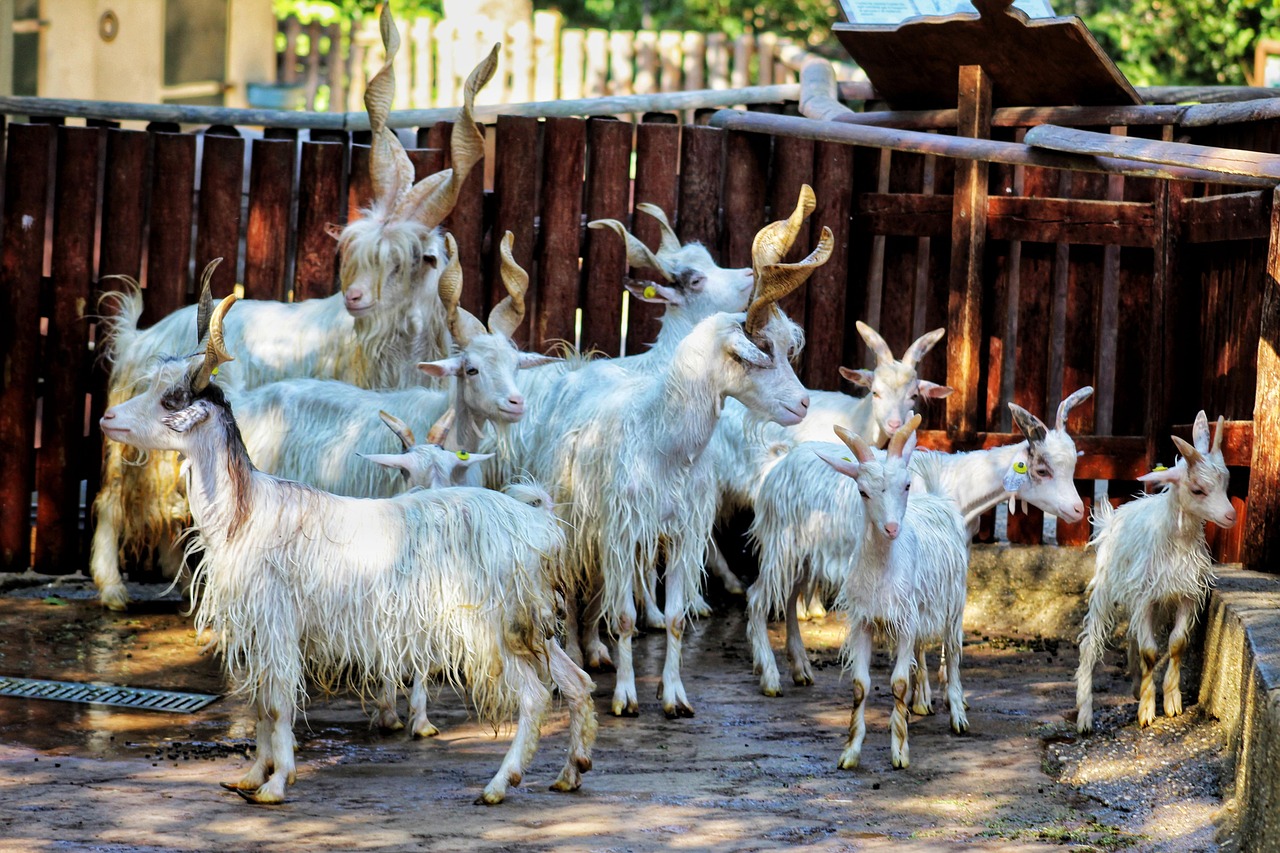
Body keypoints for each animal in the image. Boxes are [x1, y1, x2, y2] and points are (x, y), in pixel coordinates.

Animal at [89, 14, 496, 610]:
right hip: (135, 449)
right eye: (355, 252)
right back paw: (114, 587)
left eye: (409, 259)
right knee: (112, 497)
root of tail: (139, 334)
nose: (355, 298)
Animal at [97, 294, 596, 805]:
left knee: (535, 696)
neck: (247, 510)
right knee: (577, 683)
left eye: (170, 399)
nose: (108, 419)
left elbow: (278, 703)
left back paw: (499, 784)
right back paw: (571, 771)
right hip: (534, 625)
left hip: (493, 628)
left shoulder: (277, 622)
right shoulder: (261, 628)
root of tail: (538, 524)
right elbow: (261, 704)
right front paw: (252, 775)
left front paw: (277, 782)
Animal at [527, 206, 833, 717]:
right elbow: (625, 615)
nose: (804, 404)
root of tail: (576, 366)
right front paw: (626, 698)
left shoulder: (681, 529)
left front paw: (673, 696)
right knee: (570, 586)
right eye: (757, 352)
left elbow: (673, 618)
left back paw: (593, 650)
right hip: (571, 519)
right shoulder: (623, 528)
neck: (660, 438)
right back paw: (577, 656)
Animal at [812, 416, 970, 769]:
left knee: (952, 654)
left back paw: (958, 716)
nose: (892, 528)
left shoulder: (907, 622)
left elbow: (897, 683)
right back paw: (918, 704)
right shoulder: (864, 621)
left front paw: (899, 753)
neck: (882, 569)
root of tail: (936, 498)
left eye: (906, 485)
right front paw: (850, 753)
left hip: (954, 605)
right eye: (862, 491)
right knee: (921, 652)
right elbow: (860, 686)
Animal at [1075, 410, 1236, 734]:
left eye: (1225, 482)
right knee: (1090, 645)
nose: (1231, 515)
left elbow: (1176, 644)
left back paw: (1137, 685)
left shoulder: (1186, 593)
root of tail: (1112, 517)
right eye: (1197, 489)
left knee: (1132, 638)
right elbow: (1150, 651)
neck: (1177, 541)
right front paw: (1147, 711)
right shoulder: (1146, 597)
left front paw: (1171, 700)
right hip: (1107, 589)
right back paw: (1085, 715)